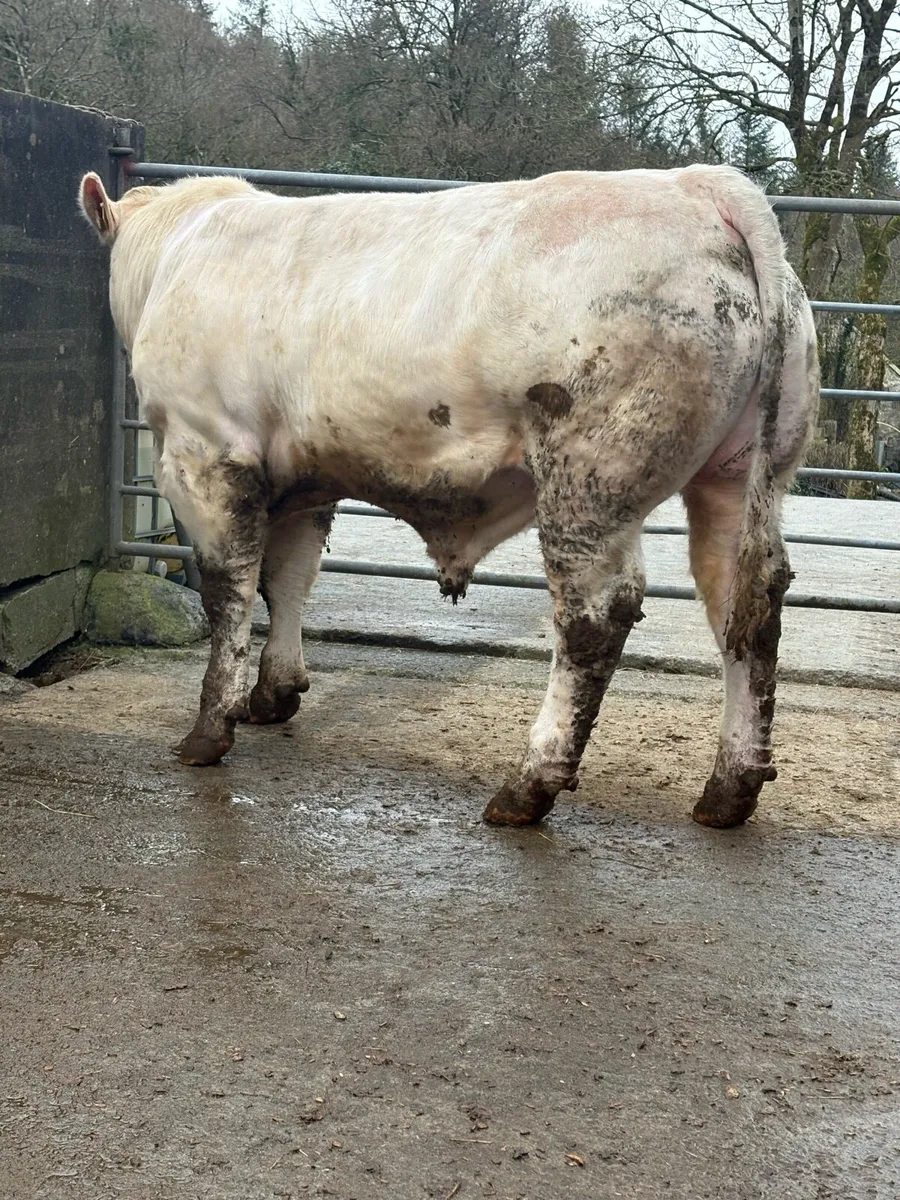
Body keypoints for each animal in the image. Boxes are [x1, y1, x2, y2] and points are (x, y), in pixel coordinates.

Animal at [79, 164, 818, 828]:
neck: (176, 251)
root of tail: (701, 186)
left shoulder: (205, 455)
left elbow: (228, 592)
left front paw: (210, 729)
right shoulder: (302, 478)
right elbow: (287, 579)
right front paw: (275, 693)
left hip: (590, 479)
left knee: (595, 618)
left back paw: (528, 787)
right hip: (739, 477)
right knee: (745, 604)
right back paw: (729, 790)